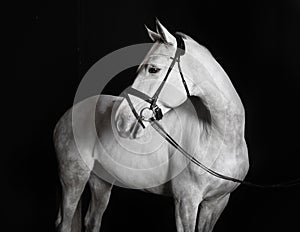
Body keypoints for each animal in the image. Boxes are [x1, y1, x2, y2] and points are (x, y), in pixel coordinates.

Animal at [54, 19, 248, 231]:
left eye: (153, 69)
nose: (121, 119)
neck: (217, 138)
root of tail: (68, 114)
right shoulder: (186, 203)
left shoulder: (217, 203)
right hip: (74, 179)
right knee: (65, 224)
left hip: (101, 182)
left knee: (92, 221)